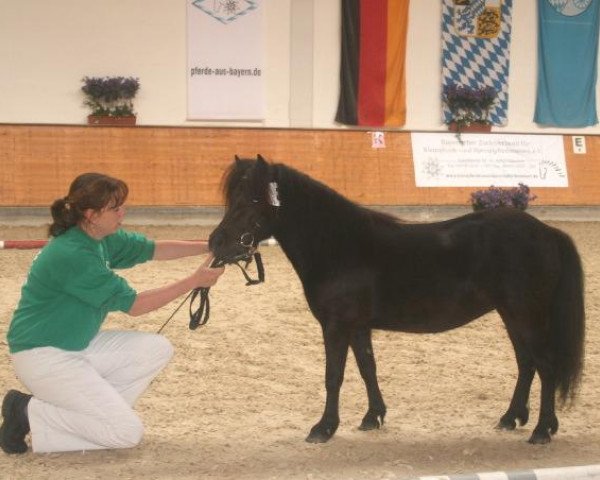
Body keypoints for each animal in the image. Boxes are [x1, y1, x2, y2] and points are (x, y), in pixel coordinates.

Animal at [209, 156, 584, 444]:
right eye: (233, 197)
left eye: (253, 200)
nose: (216, 243)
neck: (339, 245)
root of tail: (547, 232)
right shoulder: (358, 327)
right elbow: (367, 369)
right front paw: (373, 417)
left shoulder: (336, 326)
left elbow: (334, 376)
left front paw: (324, 428)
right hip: (512, 315)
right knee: (527, 363)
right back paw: (511, 418)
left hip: (526, 315)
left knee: (545, 365)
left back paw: (542, 430)